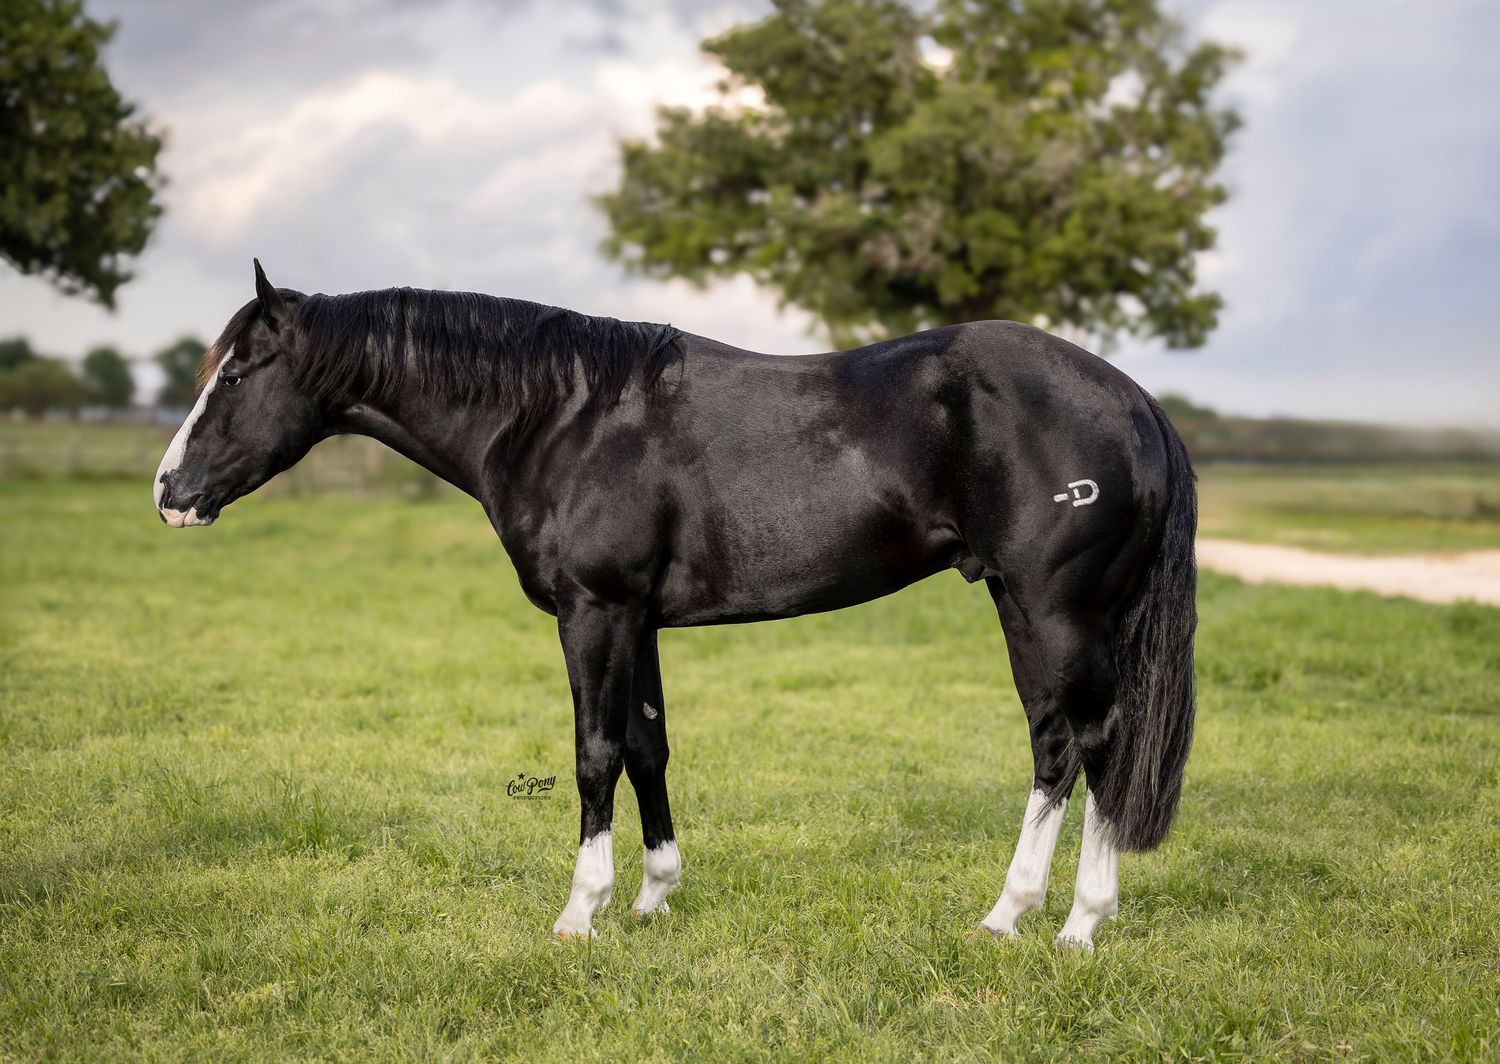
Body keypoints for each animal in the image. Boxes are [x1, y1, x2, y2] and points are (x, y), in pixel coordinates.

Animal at [154, 261, 1197, 948]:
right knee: (1075, 746)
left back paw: (1051, 921)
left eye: (235, 374)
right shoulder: (640, 620)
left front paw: (581, 913)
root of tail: (1134, 400)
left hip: (1047, 609)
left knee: (1078, 743)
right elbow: (648, 746)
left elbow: (594, 755)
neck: (562, 416)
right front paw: (655, 897)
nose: (170, 491)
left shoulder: (595, 611)